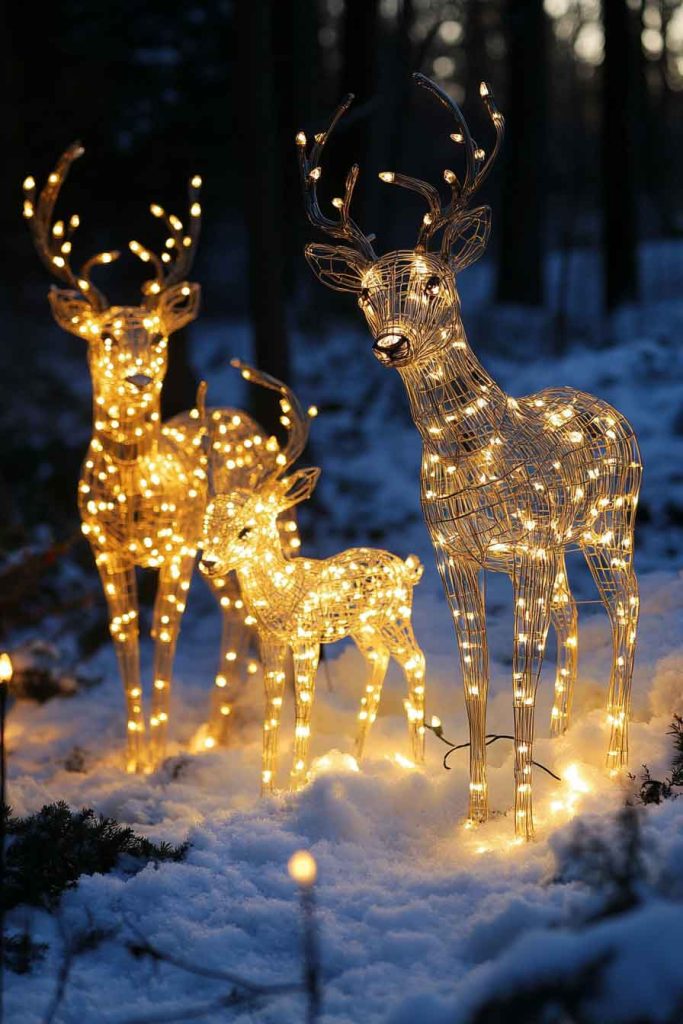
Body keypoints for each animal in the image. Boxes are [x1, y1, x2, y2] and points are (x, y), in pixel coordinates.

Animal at [24, 144, 300, 771]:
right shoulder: (101, 545)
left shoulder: (174, 548)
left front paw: (153, 753)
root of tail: (246, 419)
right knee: (237, 614)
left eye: (156, 335)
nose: (139, 377)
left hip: (272, 526)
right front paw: (133, 757)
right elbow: (124, 636)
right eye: (104, 336)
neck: (134, 490)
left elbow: (163, 637)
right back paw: (211, 735)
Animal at [199, 361, 427, 794]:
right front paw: (266, 791)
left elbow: (303, 707)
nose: (207, 562)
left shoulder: (306, 638)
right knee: (380, 661)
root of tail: (408, 569)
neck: (283, 590)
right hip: (364, 628)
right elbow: (272, 707)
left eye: (245, 530)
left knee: (416, 662)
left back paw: (419, 764)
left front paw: (295, 785)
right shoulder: (270, 640)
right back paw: (355, 758)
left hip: (394, 618)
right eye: (207, 525)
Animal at [296, 74, 641, 839]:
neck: (466, 448)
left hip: (608, 524)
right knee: (574, 616)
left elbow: (516, 676)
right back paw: (567, 735)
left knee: (626, 610)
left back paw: (612, 758)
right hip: (565, 541)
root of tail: (607, 407)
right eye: (365, 294)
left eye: (433, 280)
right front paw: (477, 816)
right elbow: (474, 680)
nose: (390, 343)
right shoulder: (455, 554)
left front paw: (524, 826)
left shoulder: (528, 546)